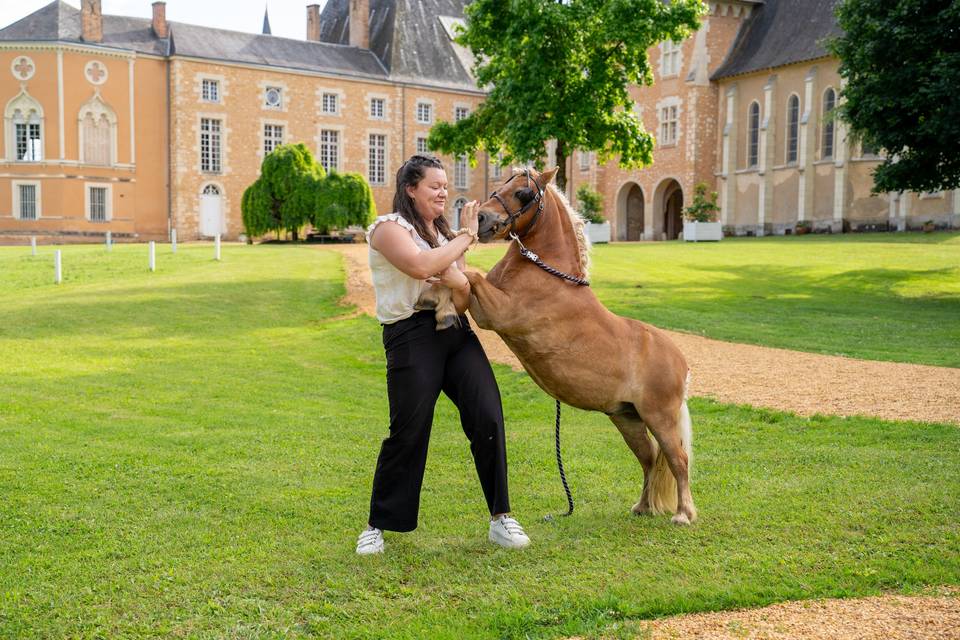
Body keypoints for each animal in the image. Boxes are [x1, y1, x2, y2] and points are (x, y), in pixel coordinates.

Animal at [464, 166, 696, 524]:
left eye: (523, 193)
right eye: (499, 185)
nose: (482, 219)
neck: (546, 273)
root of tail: (681, 363)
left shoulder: (496, 313)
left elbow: (469, 275)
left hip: (660, 419)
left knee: (677, 461)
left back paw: (683, 515)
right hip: (627, 419)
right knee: (649, 459)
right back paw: (642, 507)